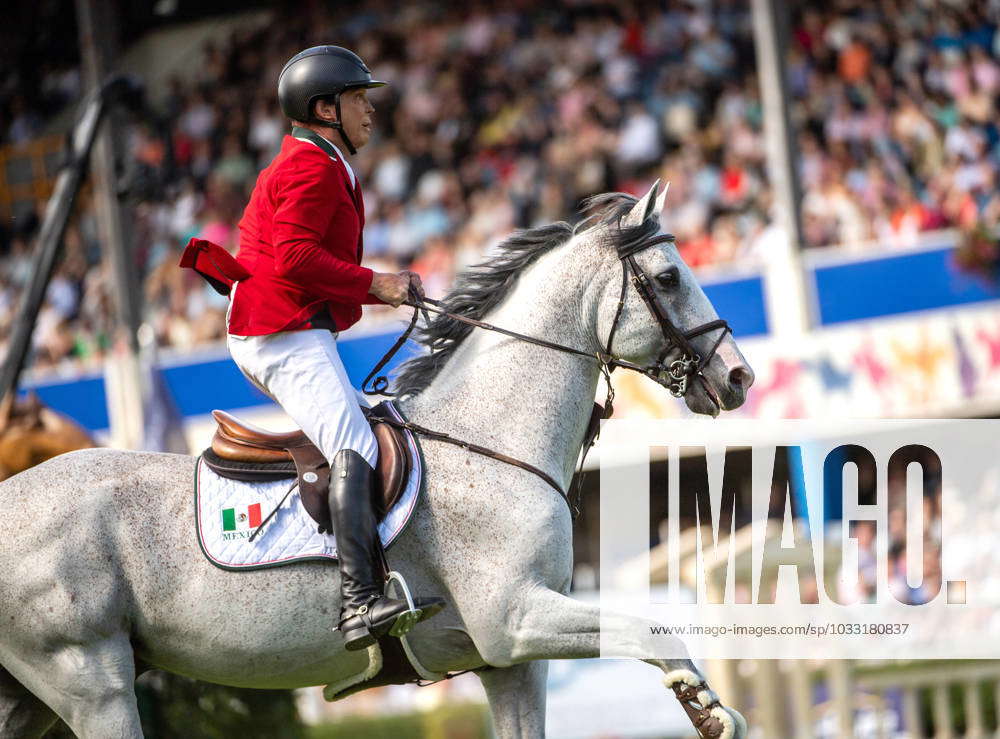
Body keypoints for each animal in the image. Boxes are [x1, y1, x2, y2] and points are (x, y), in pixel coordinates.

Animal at [0, 181, 752, 739]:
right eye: (668, 277)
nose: (739, 377)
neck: (491, 438)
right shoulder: (514, 620)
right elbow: (650, 626)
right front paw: (709, 710)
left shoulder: (508, 661)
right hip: (90, 677)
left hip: (30, 696)